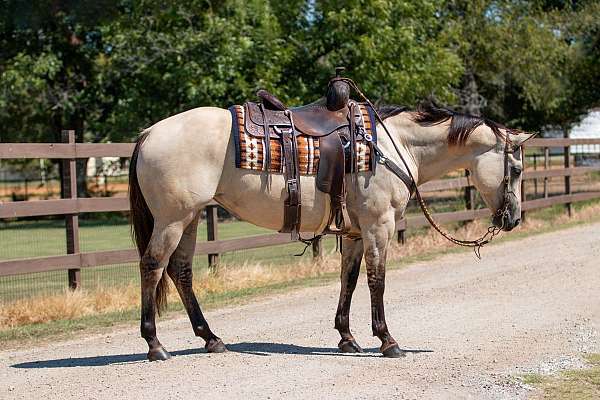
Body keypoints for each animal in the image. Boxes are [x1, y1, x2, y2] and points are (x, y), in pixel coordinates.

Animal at [129, 76, 532, 360]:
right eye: (515, 169)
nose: (512, 219)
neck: (392, 145)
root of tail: (149, 133)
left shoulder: (354, 231)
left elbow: (349, 280)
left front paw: (347, 338)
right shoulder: (378, 225)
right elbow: (376, 280)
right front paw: (387, 340)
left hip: (191, 218)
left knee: (181, 271)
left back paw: (211, 339)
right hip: (172, 219)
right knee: (152, 266)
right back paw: (155, 344)